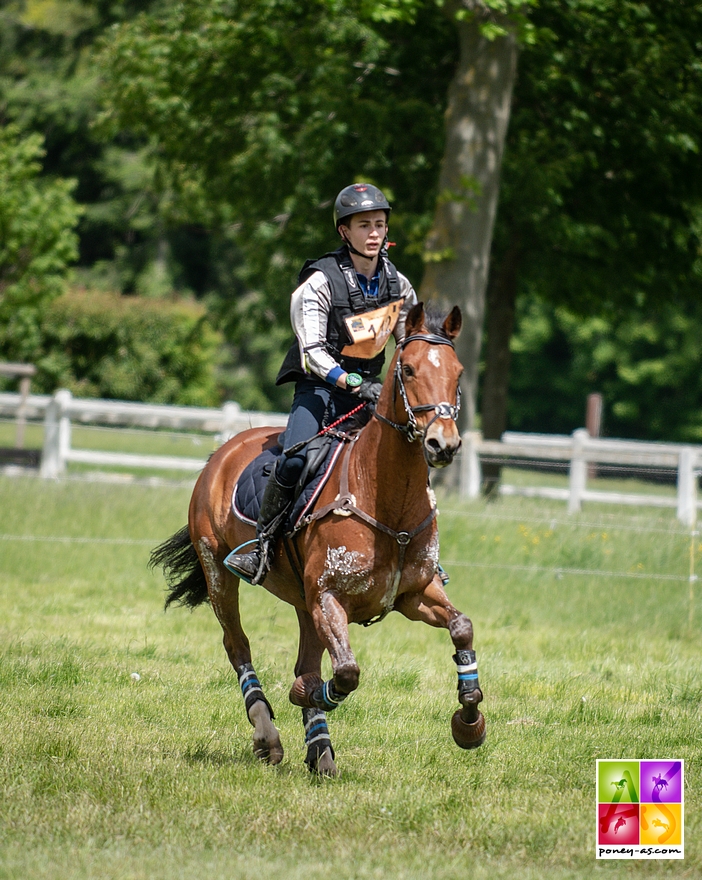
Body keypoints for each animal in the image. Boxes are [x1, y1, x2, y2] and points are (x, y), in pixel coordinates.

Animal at [151, 304, 486, 776]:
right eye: (408, 368)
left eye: (457, 373)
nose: (443, 443)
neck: (384, 497)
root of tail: (224, 451)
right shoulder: (329, 598)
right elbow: (345, 672)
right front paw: (303, 694)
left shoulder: (413, 594)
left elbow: (462, 628)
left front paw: (469, 722)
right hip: (219, 571)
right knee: (237, 644)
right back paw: (268, 735)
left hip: (301, 598)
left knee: (303, 660)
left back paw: (320, 750)